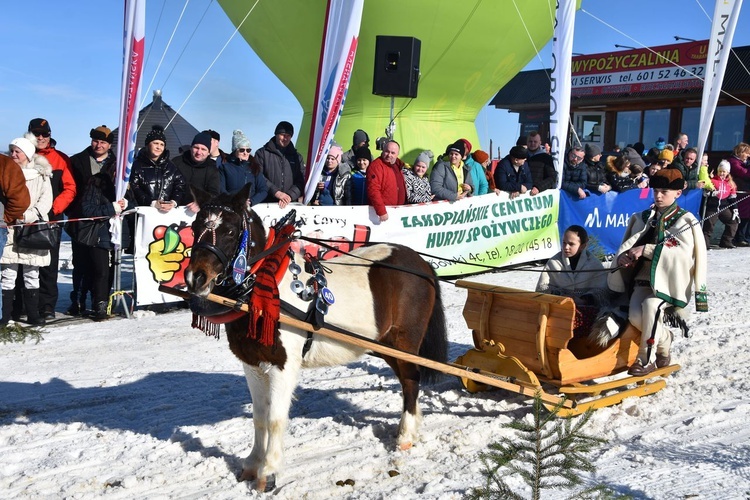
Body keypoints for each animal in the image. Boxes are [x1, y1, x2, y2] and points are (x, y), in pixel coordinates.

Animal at [186, 185, 450, 492]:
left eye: (229, 230)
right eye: (194, 227)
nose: (195, 278)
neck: (263, 291)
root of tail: (421, 263)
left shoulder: (283, 366)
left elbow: (275, 419)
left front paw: (269, 471)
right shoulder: (252, 365)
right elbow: (259, 417)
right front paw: (252, 465)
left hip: (405, 342)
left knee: (410, 381)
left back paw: (406, 435)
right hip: (385, 345)